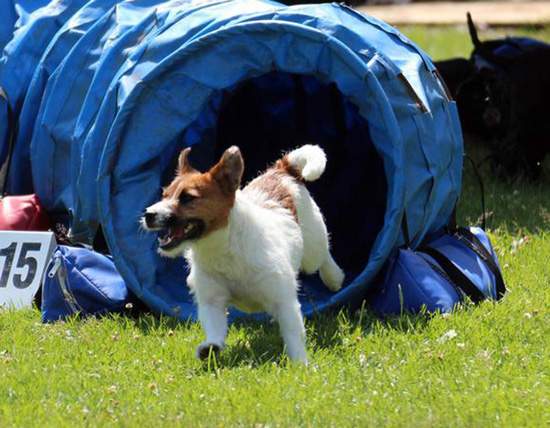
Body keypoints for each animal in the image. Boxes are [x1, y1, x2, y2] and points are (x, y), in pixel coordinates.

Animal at [141, 145, 344, 362]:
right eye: (164, 194)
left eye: (187, 197)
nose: (148, 214)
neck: (223, 248)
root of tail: (282, 170)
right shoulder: (212, 301)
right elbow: (214, 326)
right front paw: (211, 347)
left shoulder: (284, 302)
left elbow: (293, 334)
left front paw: (300, 363)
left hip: (312, 248)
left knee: (324, 255)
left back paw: (334, 277)